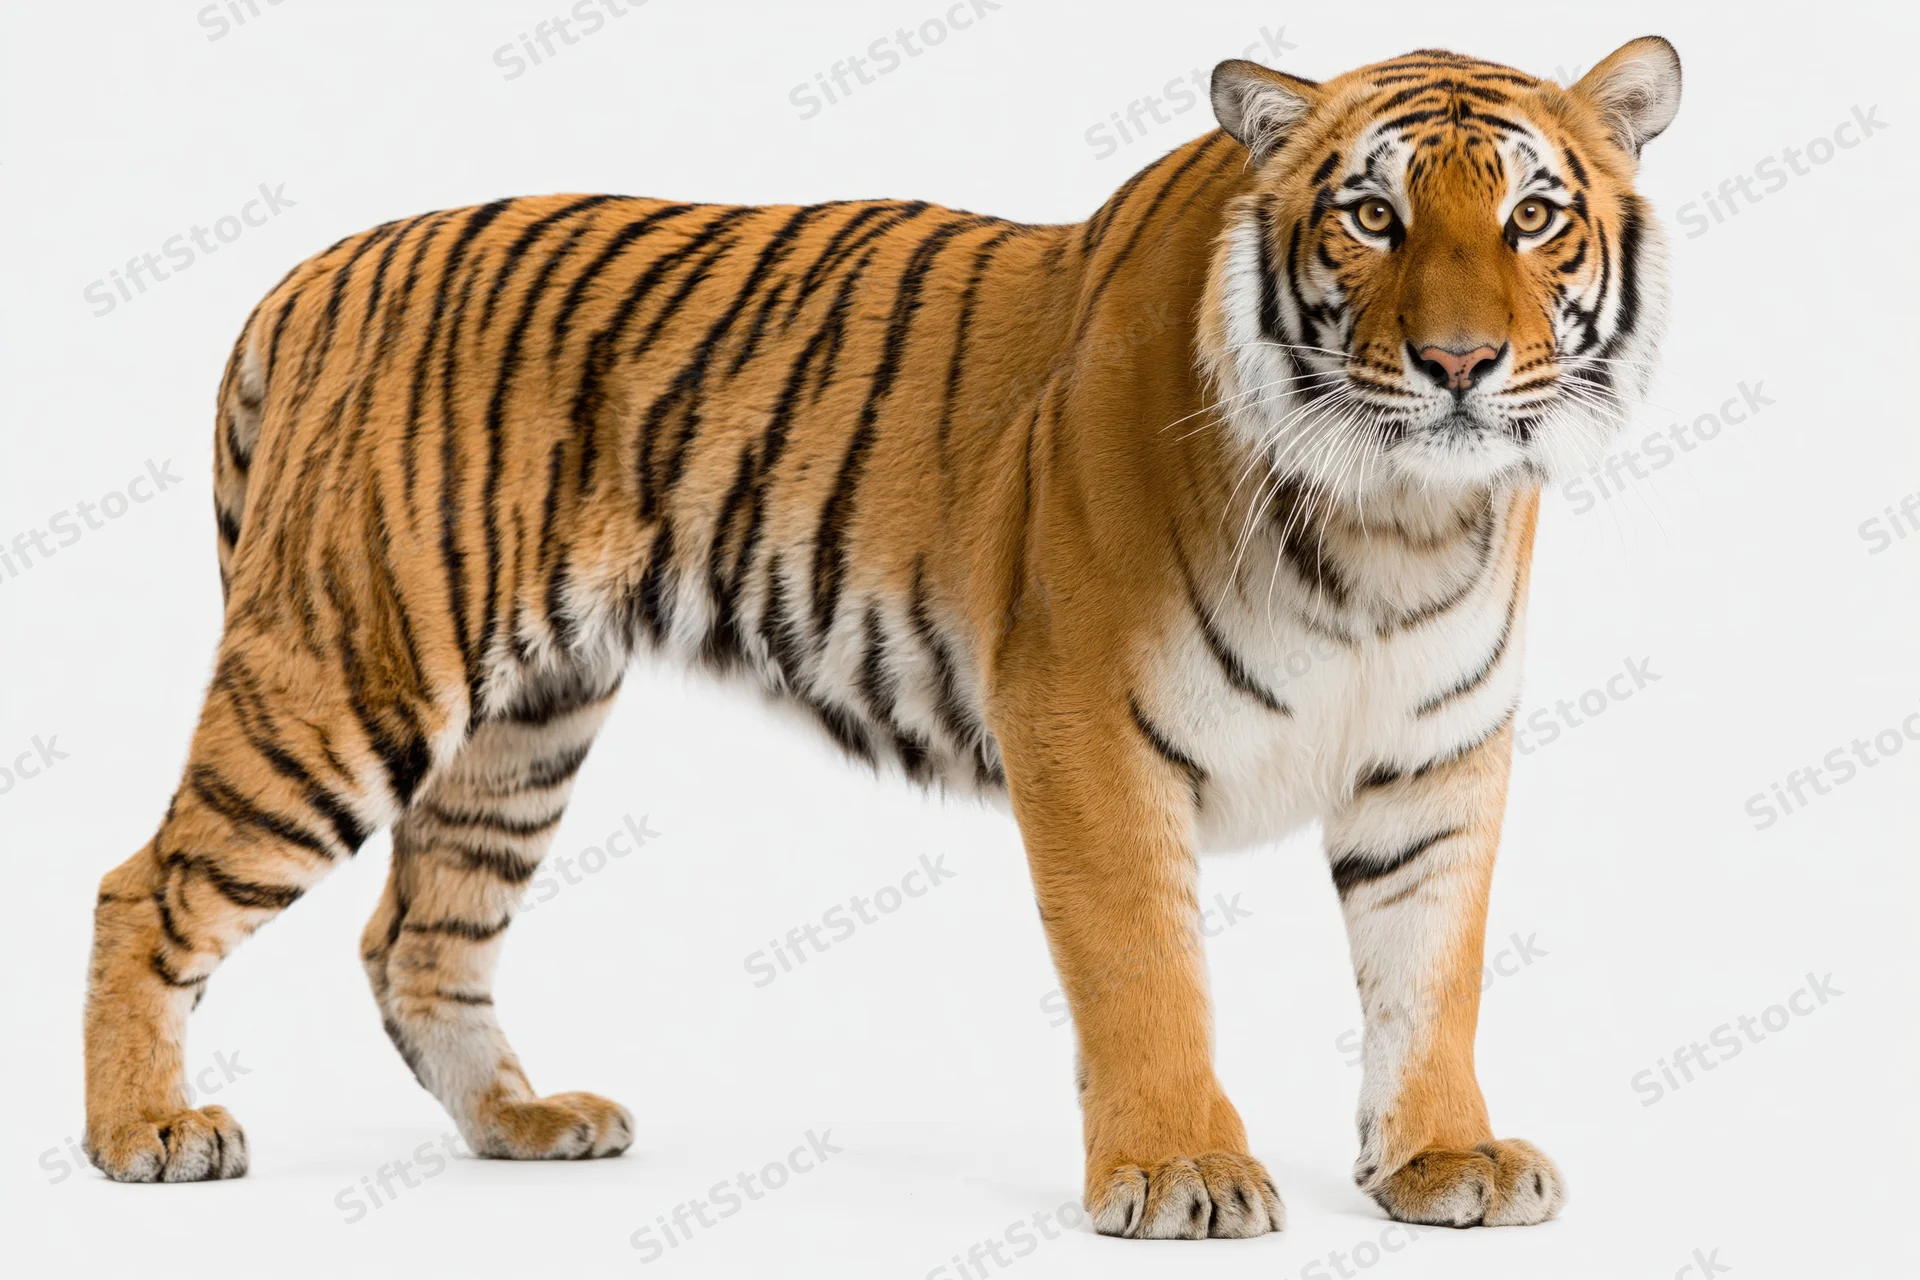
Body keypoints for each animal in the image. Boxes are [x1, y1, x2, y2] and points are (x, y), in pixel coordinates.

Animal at [80, 36, 1682, 1238]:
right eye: (1373, 216)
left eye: (1534, 217)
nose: (1462, 362)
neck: (1398, 518)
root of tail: (314, 271)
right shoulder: (1087, 730)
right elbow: (1146, 972)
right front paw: (1179, 1169)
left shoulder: (1439, 761)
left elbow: (1433, 974)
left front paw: (1441, 1159)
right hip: (346, 673)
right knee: (141, 885)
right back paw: (144, 1132)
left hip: (527, 725)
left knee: (419, 933)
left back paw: (523, 1122)